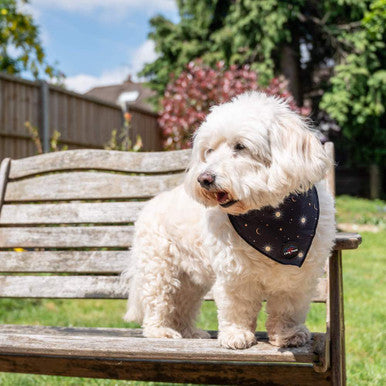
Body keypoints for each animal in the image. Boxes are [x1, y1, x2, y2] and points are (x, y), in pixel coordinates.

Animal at [123, 92, 334, 350]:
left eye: (240, 147)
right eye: (210, 150)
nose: (204, 178)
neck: (273, 222)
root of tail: (149, 205)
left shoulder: (297, 277)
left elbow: (288, 308)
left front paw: (289, 334)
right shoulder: (234, 273)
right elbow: (236, 307)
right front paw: (236, 335)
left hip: (190, 280)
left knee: (184, 305)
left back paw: (190, 332)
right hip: (159, 269)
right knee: (158, 301)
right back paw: (160, 331)